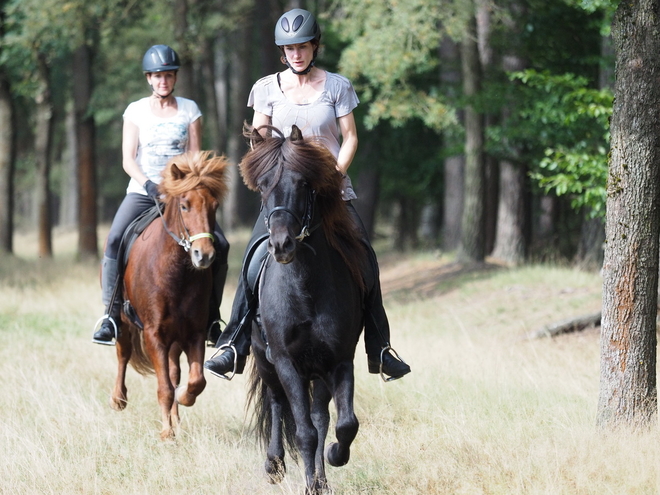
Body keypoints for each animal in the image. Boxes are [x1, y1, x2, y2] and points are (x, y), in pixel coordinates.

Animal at [110, 150, 229, 438]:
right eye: (184, 205)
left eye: (214, 206)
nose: (204, 255)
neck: (177, 274)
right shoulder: (154, 334)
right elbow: (164, 387)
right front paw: (166, 434)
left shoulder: (195, 332)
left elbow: (195, 381)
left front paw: (183, 401)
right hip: (125, 319)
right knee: (123, 352)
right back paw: (118, 399)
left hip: (176, 338)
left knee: (174, 372)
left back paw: (176, 416)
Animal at [242, 126, 366, 494]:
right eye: (263, 185)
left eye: (302, 184)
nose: (281, 245)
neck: (305, 288)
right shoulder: (286, 362)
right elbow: (304, 432)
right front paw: (309, 483)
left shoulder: (338, 360)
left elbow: (343, 424)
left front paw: (333, 459)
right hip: (266, 359)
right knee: (277, 403)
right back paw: (274, 464)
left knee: (320, 416)